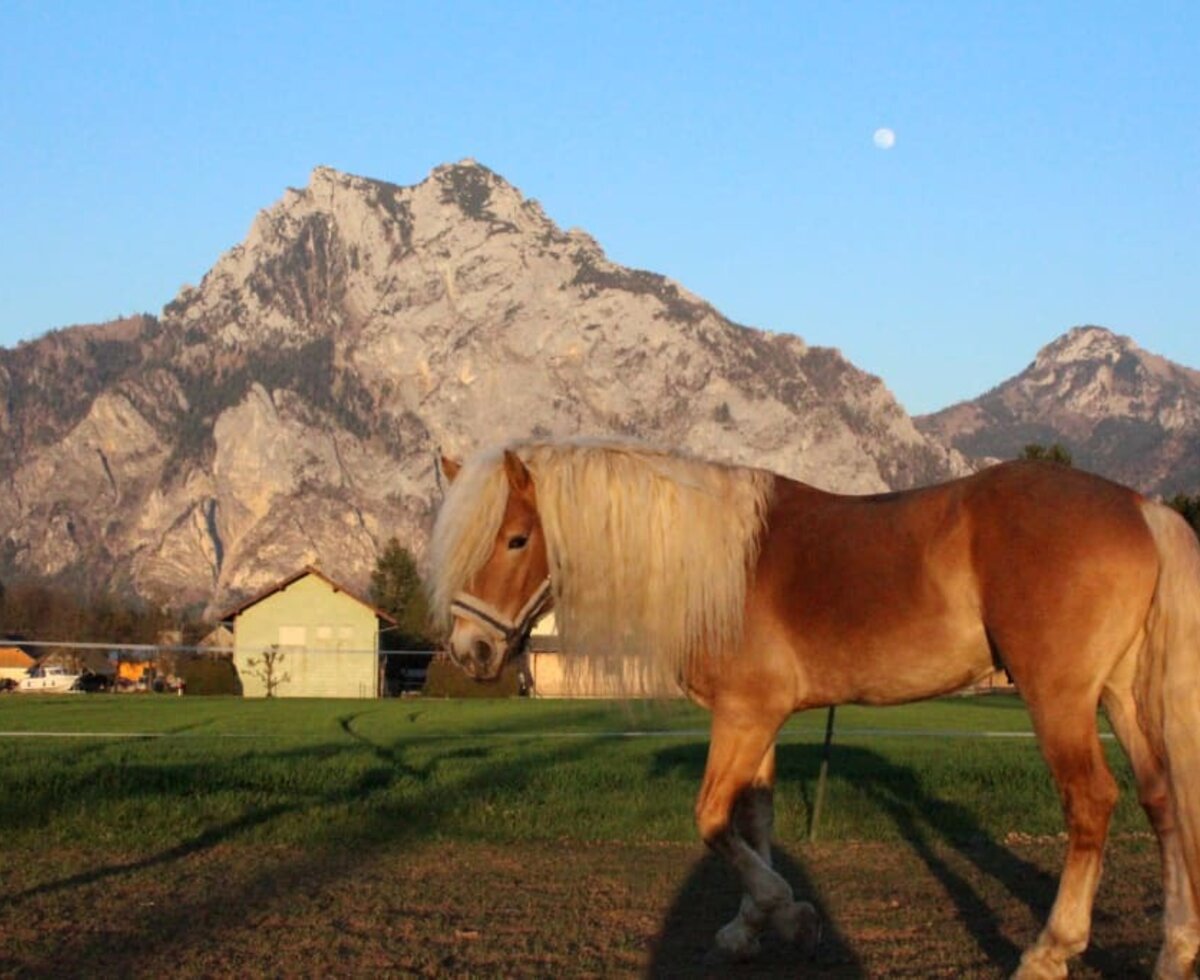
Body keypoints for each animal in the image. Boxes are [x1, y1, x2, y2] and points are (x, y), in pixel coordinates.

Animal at [427, 439, 1200, 974]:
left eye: (516, 539)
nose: (471, 651)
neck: (718, 568)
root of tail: (1142, 507)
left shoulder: (745, 715)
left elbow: (711, 818)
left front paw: (788, 913)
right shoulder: (757, 720)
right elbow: (752, 817)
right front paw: (748, 928)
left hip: (1060, 699)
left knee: (1092, 803)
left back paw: (1049, 951)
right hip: (1122, 696)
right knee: (1162, 801)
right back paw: (1175, 951)